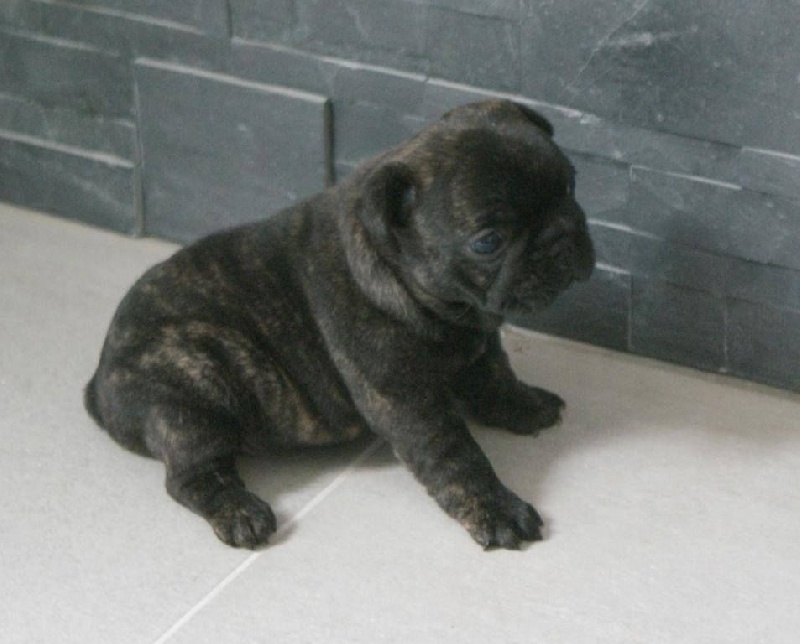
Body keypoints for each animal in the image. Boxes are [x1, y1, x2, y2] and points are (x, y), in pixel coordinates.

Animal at [85, 100, 595, 550]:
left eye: (571, 186)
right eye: (488, 241)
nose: (562, 235)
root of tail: (100, 382)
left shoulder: (481, 344)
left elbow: (497, 379)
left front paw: (525, 406)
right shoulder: (407, 400)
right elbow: (456, 457)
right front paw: (494, 509)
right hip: (192, 385)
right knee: (190, 474)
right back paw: (239, 511)